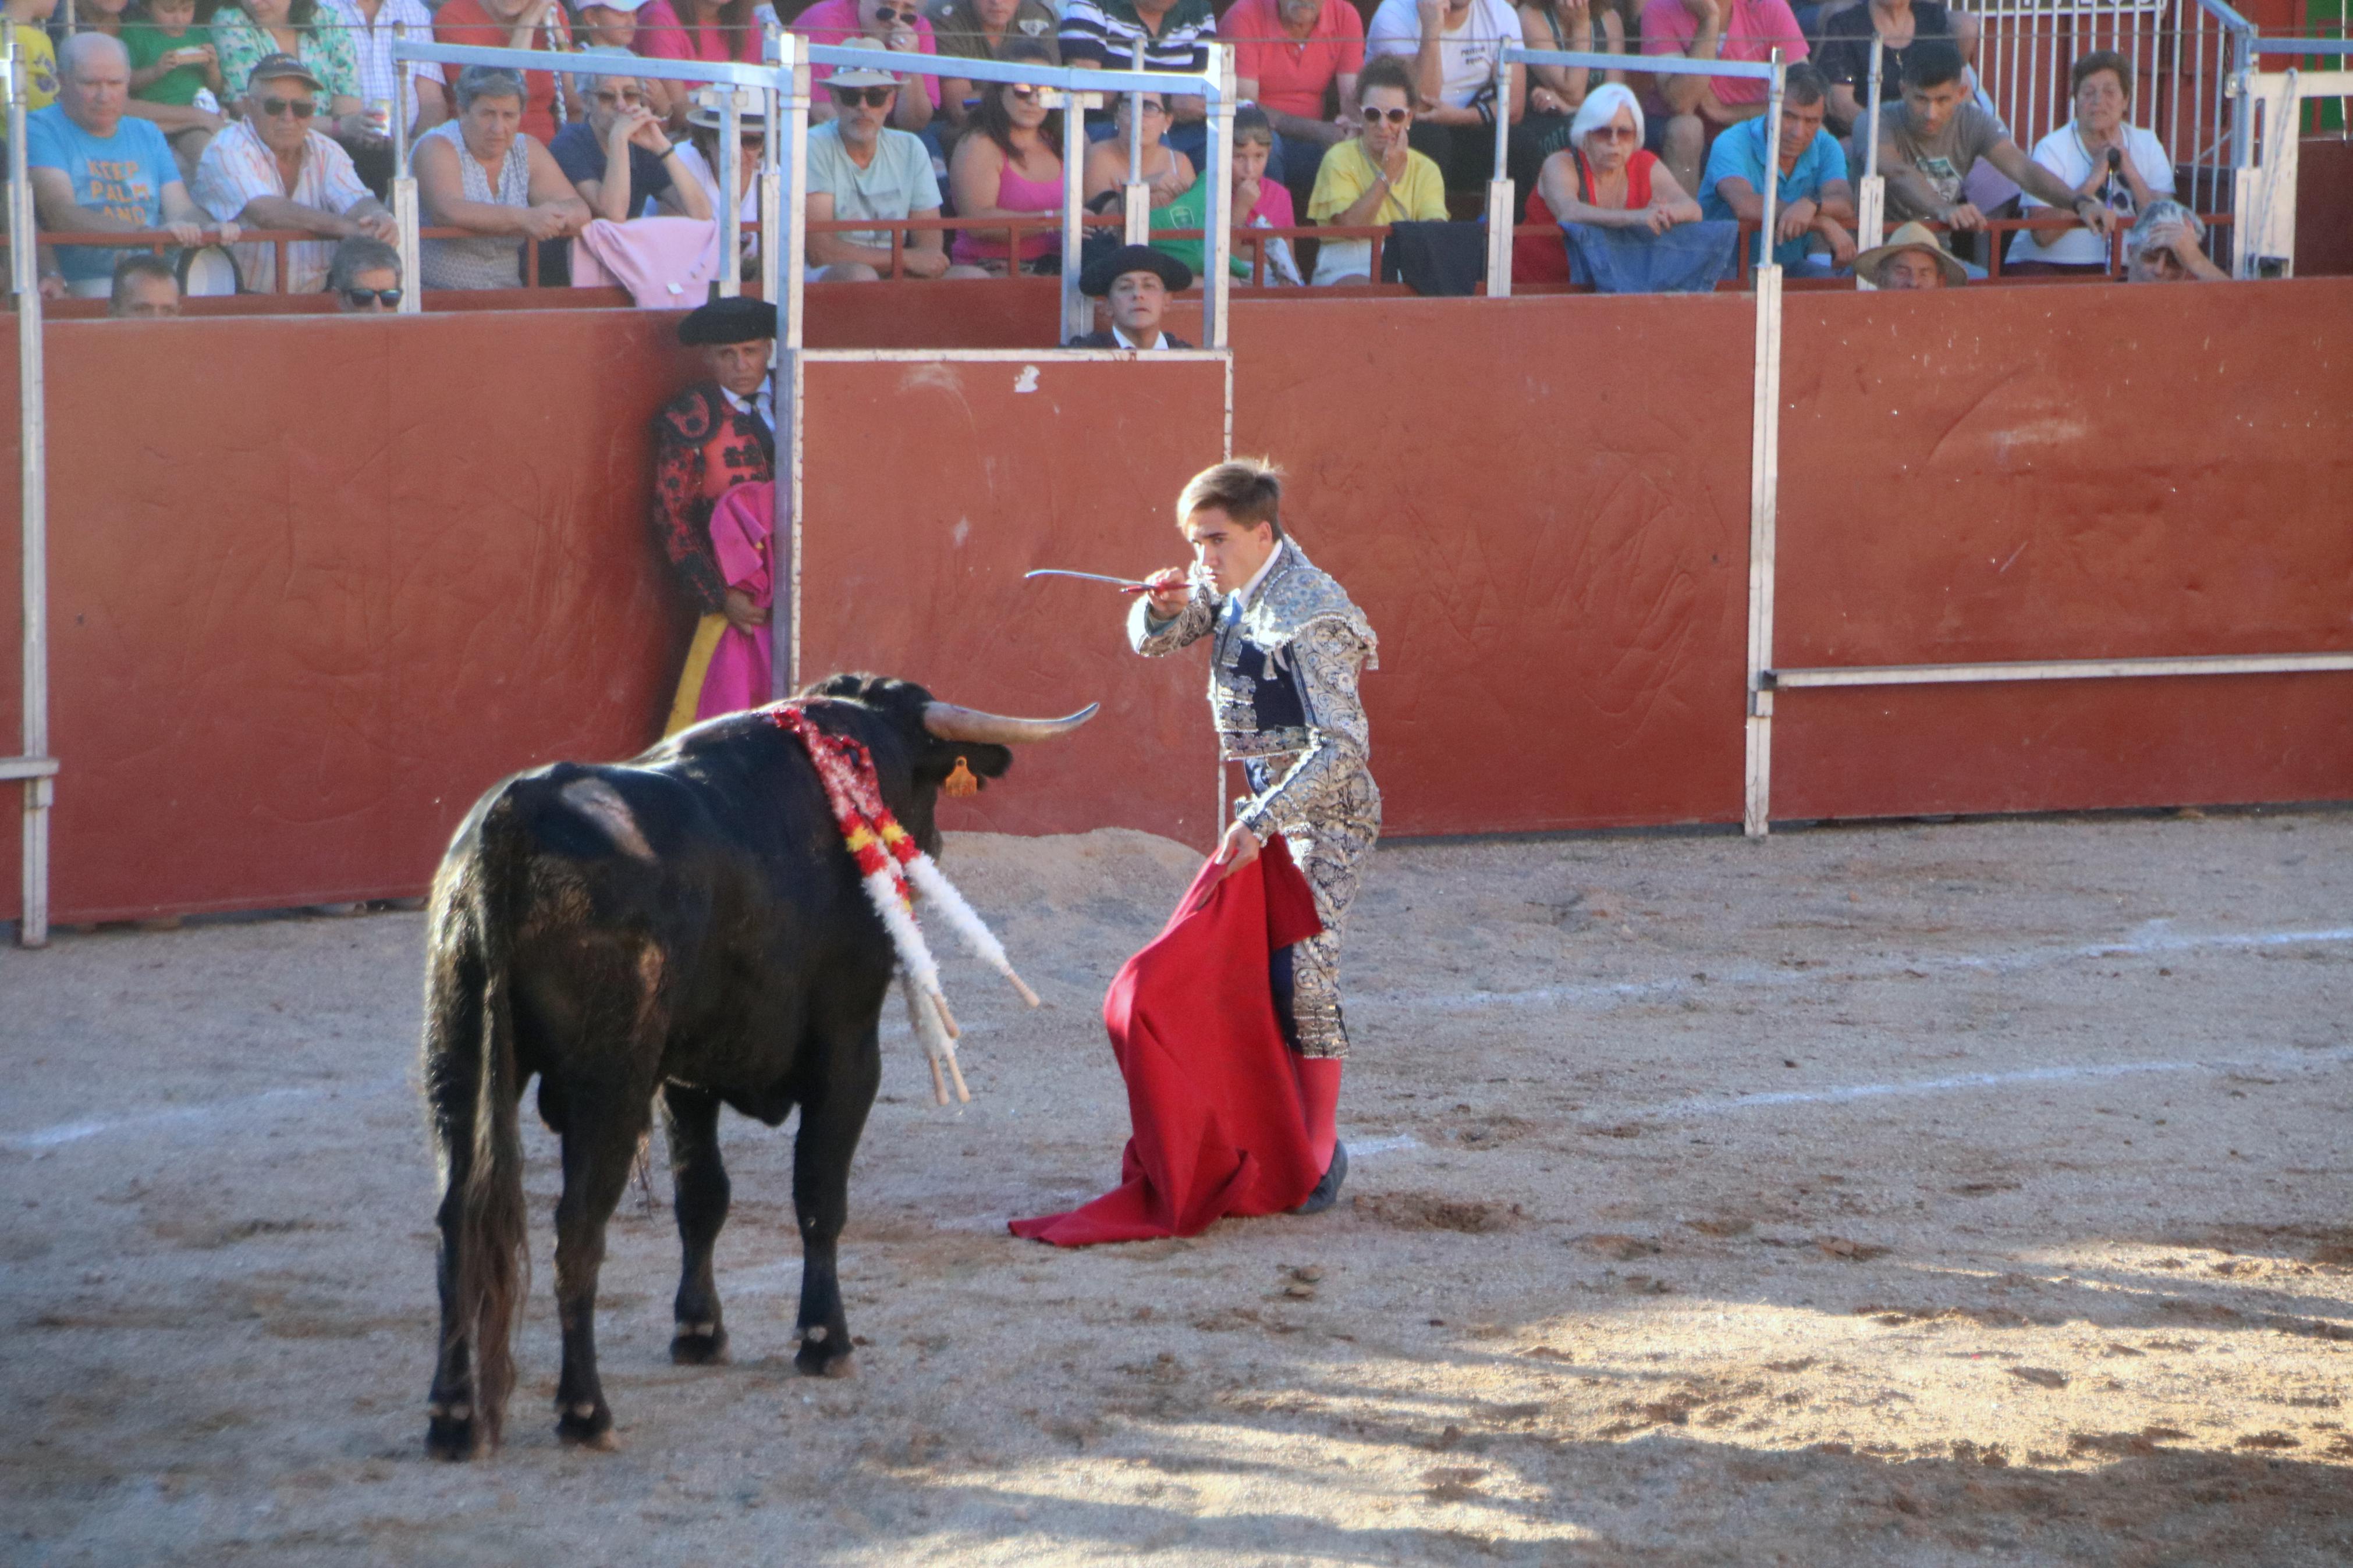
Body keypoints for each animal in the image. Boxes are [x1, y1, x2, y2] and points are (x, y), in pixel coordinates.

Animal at [416, 672, 1091, 1457]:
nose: (937, 843)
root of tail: (513, 819)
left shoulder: (686, 1075)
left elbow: (702, 1197)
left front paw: (699, 1329)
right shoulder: (847, 1049)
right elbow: (819, 1195)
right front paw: (825, 1341)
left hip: (456, 1058)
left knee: (457, 1221)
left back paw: (452, 1415)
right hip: (607, 1080)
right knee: (576, 1229)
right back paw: (585, 1409)